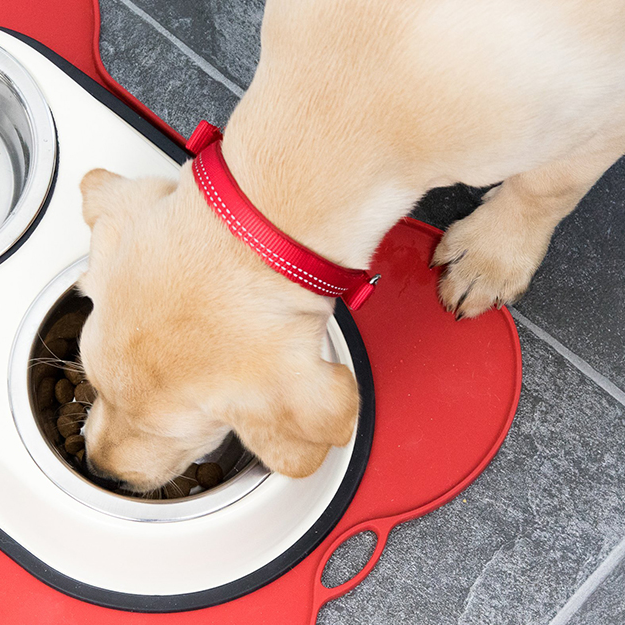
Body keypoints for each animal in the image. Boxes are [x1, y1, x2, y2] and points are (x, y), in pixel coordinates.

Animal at [78, 0, 624, 490]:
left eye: (171, 432)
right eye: (94, 384)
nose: (99, 471)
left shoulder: (603, 115)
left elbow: (547, 186)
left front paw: (491, 256)